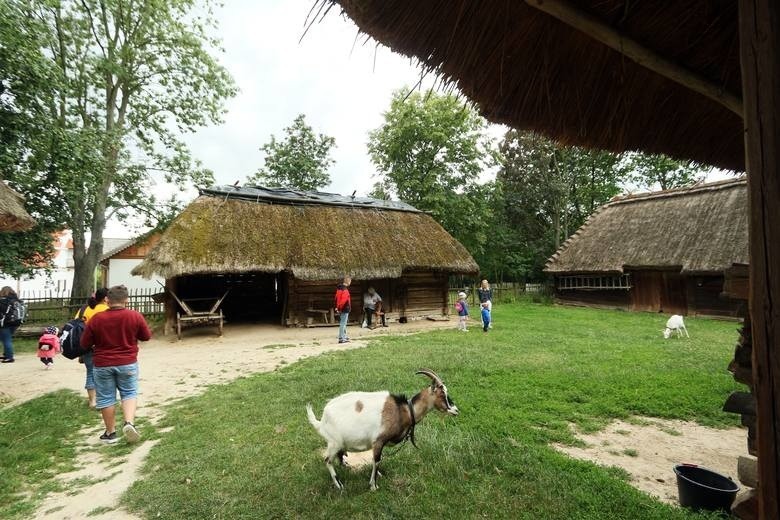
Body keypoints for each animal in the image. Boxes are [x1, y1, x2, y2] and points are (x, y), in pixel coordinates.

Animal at [308, 368, 460, 490]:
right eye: (442, 394)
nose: (456, 410)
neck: (403, 410)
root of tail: (322, 420)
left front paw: (378, 476)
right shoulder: (378, 441)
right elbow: (377, 460)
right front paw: (373, 486)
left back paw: (345, 466)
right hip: (334, 443)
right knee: (327, 460)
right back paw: (339, 484)